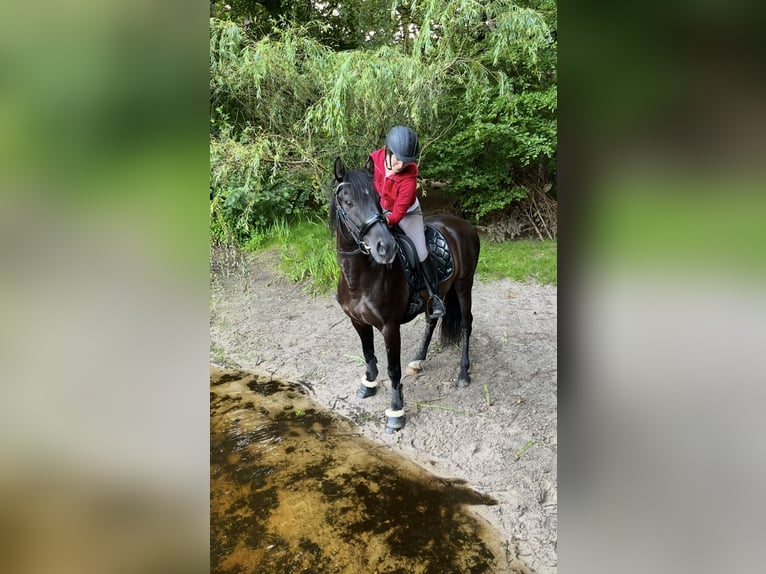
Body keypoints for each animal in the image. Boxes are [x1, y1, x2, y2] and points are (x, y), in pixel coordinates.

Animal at [330, 155, 480, 434]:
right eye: (348, 201)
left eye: (377, 199)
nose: (385, 247)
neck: (361, 278)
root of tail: (463, 224)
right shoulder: (357, 321)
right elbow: (368, 354)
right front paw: (368, 385)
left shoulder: (390, 327)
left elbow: (393, 369)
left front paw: (396, 412)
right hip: (439, 293)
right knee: (432, 320)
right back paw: (418, 360)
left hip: (465, 284)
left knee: (466, 324)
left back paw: (463, 374)